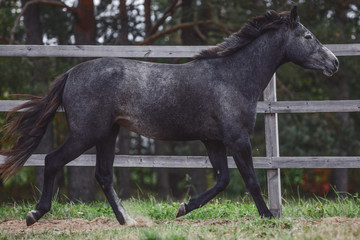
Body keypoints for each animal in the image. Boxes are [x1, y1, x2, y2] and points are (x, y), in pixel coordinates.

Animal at [0, 6, 338, 227]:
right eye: (308, 36)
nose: (334, 63)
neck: (232, 77)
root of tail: (71, 73)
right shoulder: (237, 139)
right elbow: (251, 181)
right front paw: (269, 219)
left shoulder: (213, 140)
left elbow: (223, 180)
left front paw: (182, 208)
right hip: (86, 134)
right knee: (52, 161)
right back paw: (34, 214)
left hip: (108, 133)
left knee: (103, 175)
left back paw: (127, 221)